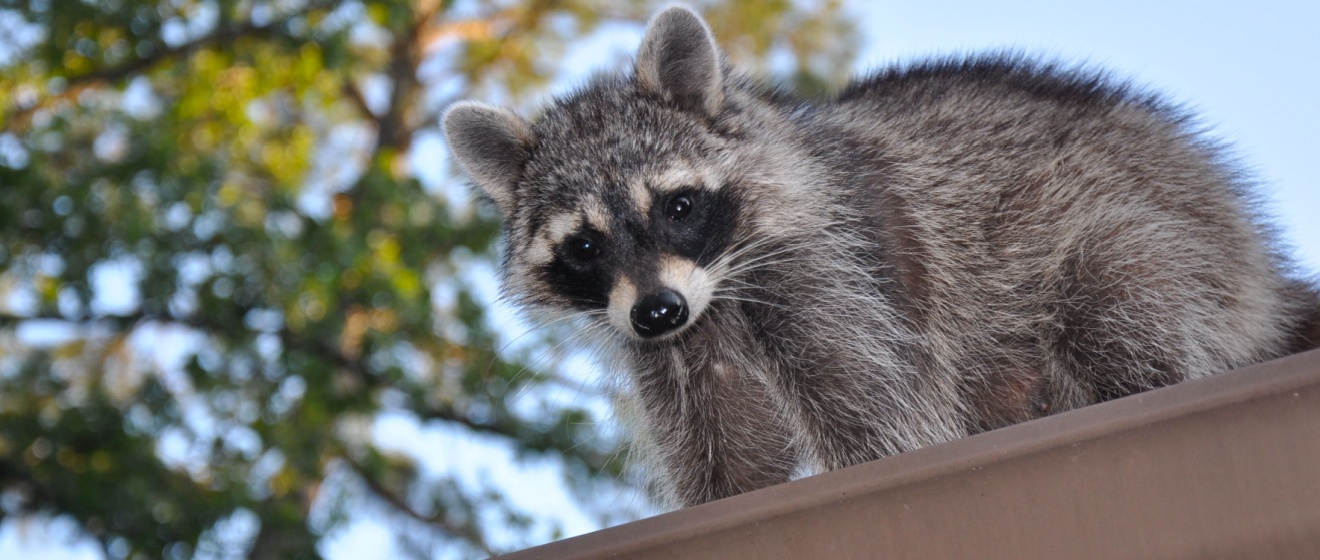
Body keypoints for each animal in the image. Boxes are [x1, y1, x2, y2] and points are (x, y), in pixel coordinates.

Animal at [443, 5, 1320, 507]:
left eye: (678, 207)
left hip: (1165, 235)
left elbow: (881, 418)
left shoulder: (838, 272)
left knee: (1115, 301)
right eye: (584, 245)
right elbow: (730, 459)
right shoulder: (680, 348)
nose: (657, 310)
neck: (718, 286)